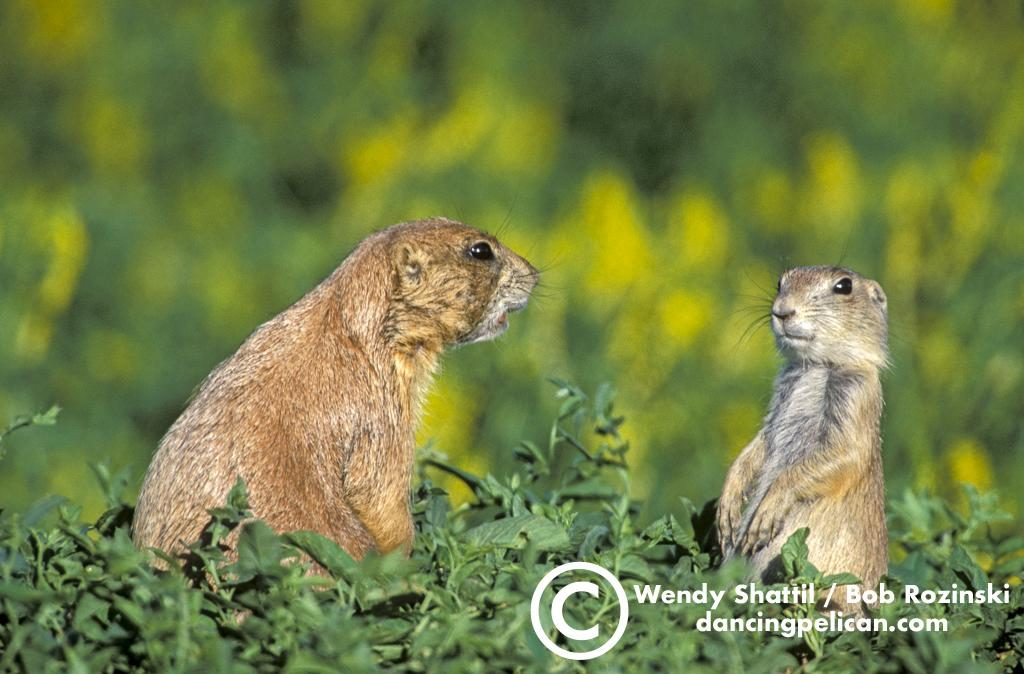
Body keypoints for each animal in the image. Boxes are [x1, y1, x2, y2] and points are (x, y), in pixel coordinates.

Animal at [717, 266, 889, 612]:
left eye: (844, 286)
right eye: (780, 282)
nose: (781, 311)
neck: (816, 366)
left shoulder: (856, 401)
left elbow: (839, 457)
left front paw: (762, 519)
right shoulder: (776, 410)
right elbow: (757, 446)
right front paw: (727, 511)